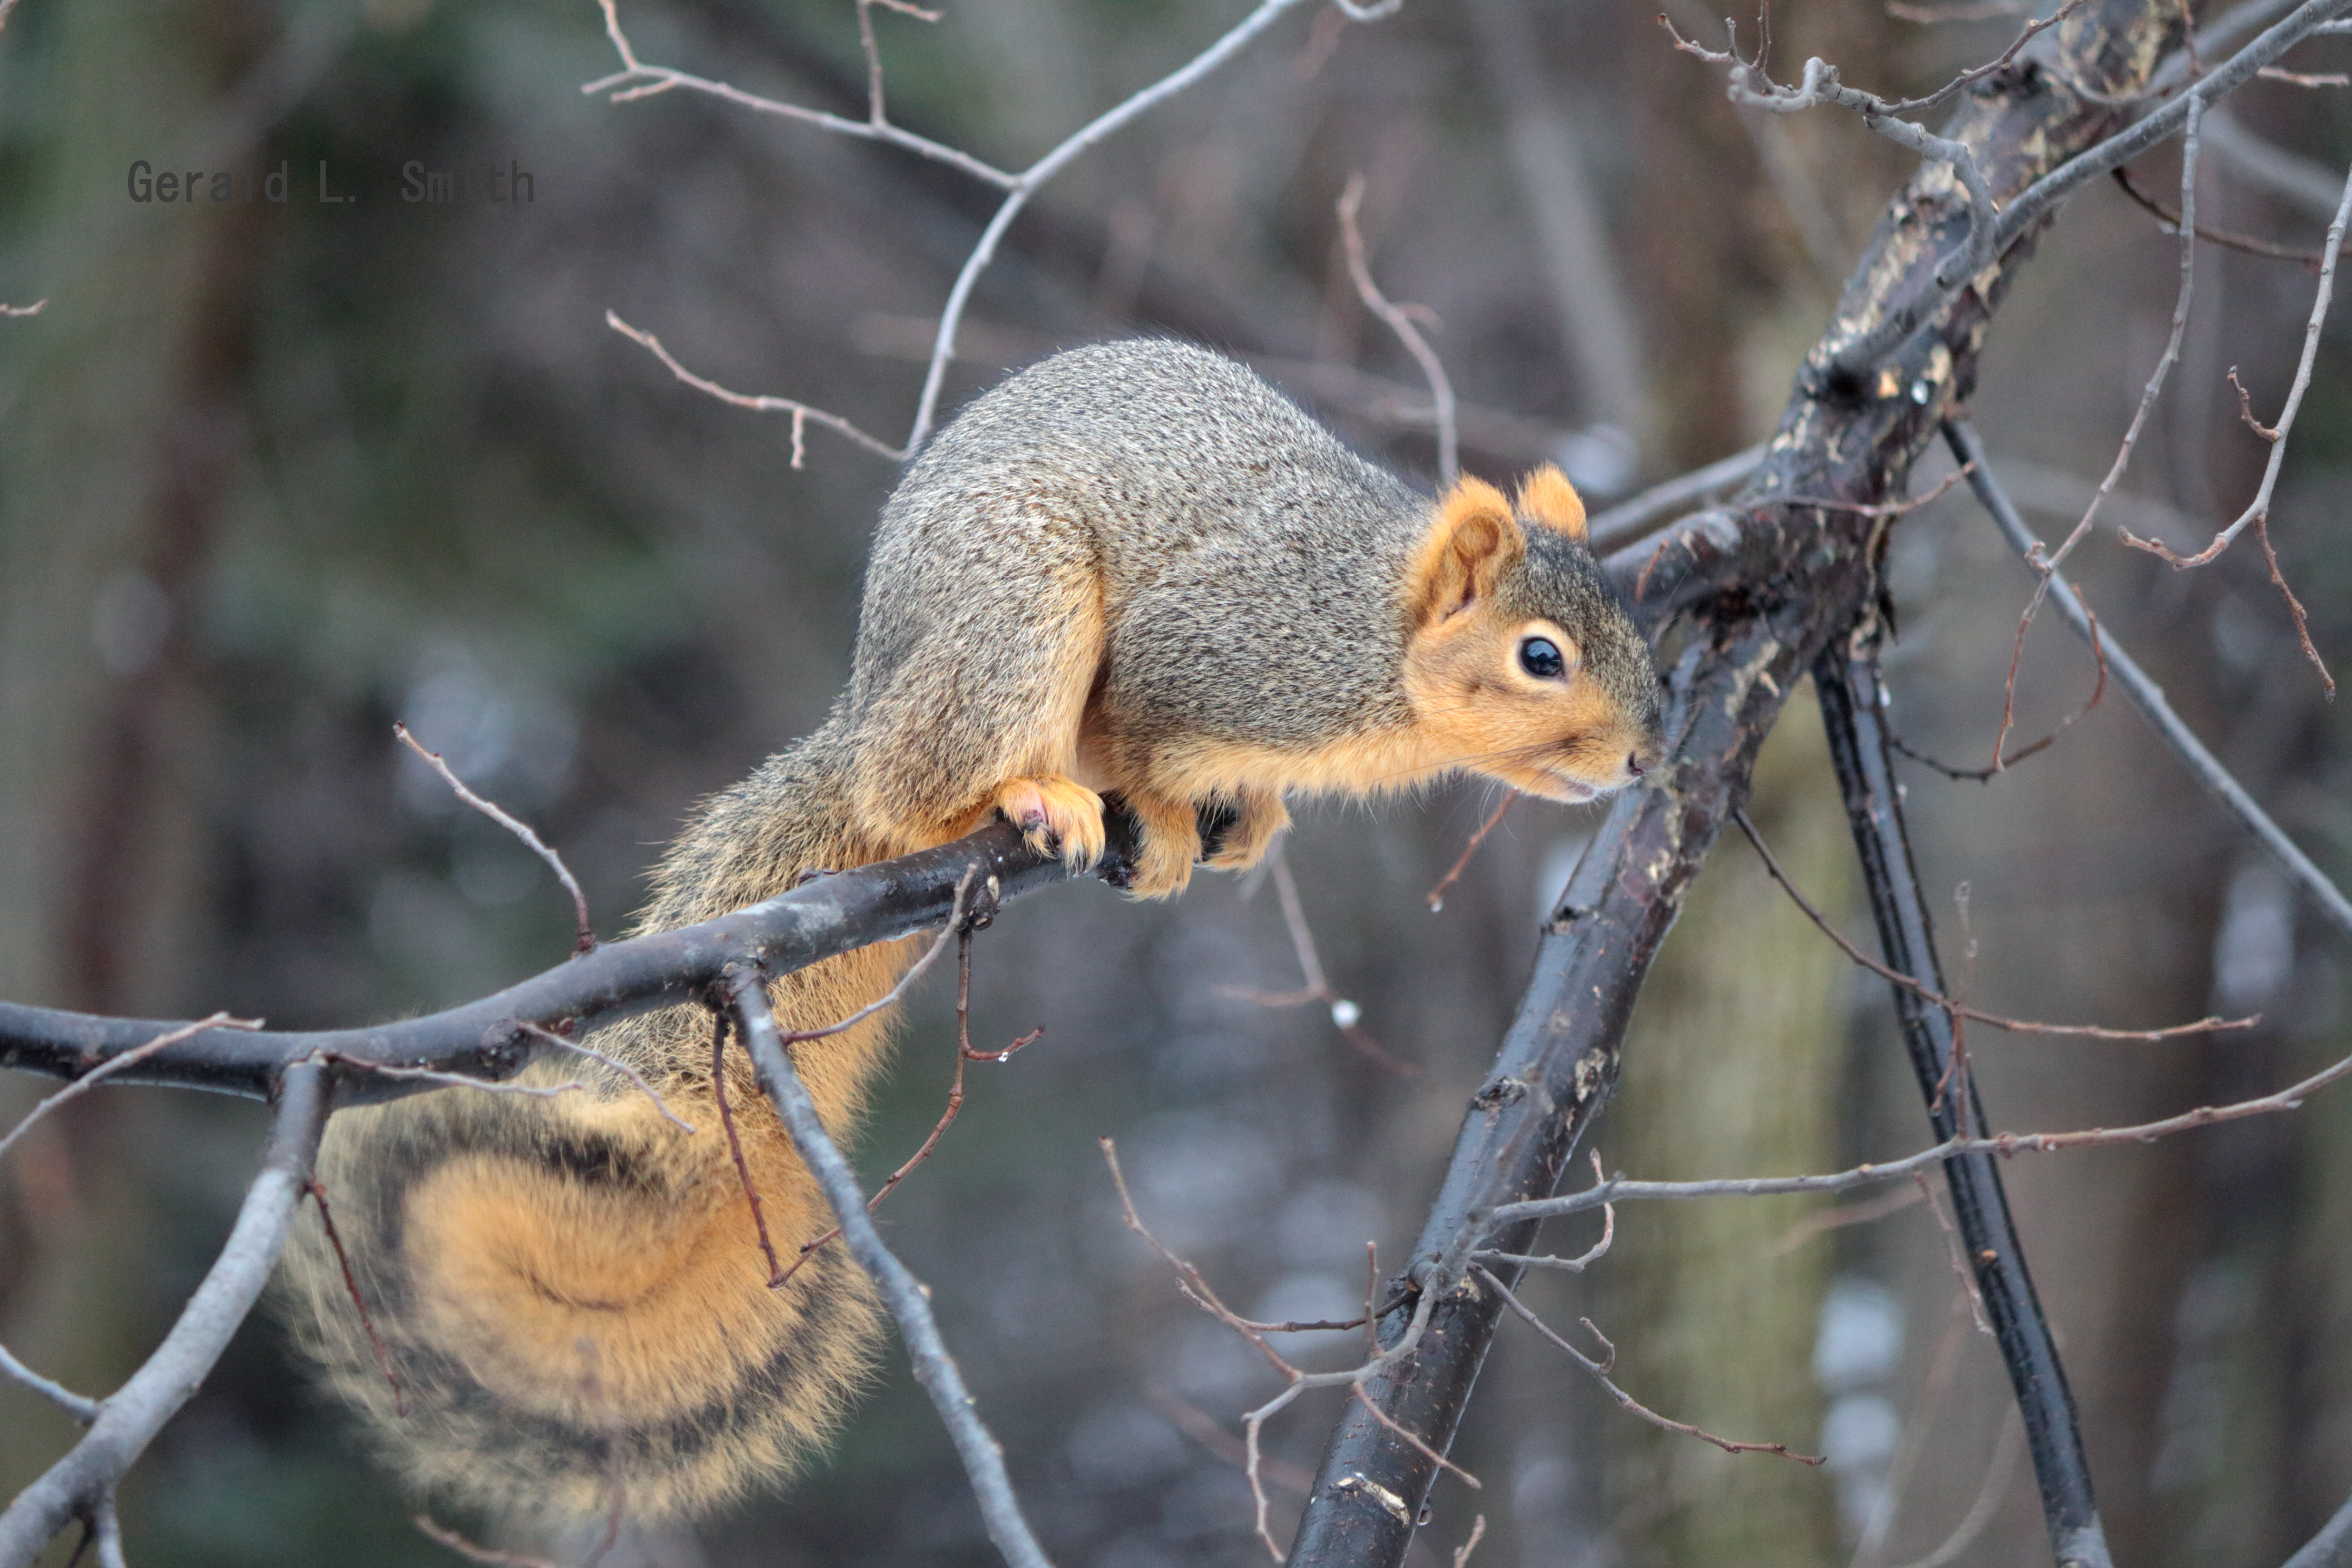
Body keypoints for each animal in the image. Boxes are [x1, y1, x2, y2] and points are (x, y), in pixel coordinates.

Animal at [279, 343, 1675, 1533]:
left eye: (1631, 633)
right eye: (1539, 656)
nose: (1648, 758)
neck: (1378, 639)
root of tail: (871, 689)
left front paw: (1257, 816)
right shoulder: (1215, 651)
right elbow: (1146, 732)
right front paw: (1167, 814)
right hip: (1016, 609)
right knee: (912, 788)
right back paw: (1031, 795)